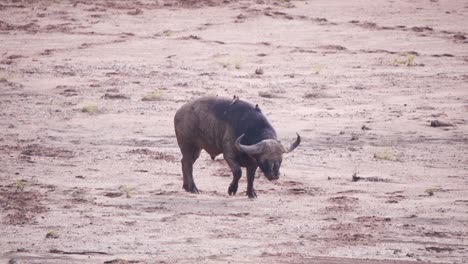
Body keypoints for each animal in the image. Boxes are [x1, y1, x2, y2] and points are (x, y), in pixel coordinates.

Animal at [174, 96, 302, 197]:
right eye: (265, 160)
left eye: (280, 160)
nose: (275, 175)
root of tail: (179, 112)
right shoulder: (229, 155)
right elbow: (238, 172)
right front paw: (232, 189)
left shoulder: (253, 163)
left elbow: (251, 177)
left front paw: (251, 193)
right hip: (187, 145)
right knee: (188, 164)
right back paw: (193, 188)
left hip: (197, 149)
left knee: (184, 162)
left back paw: (186, 186)